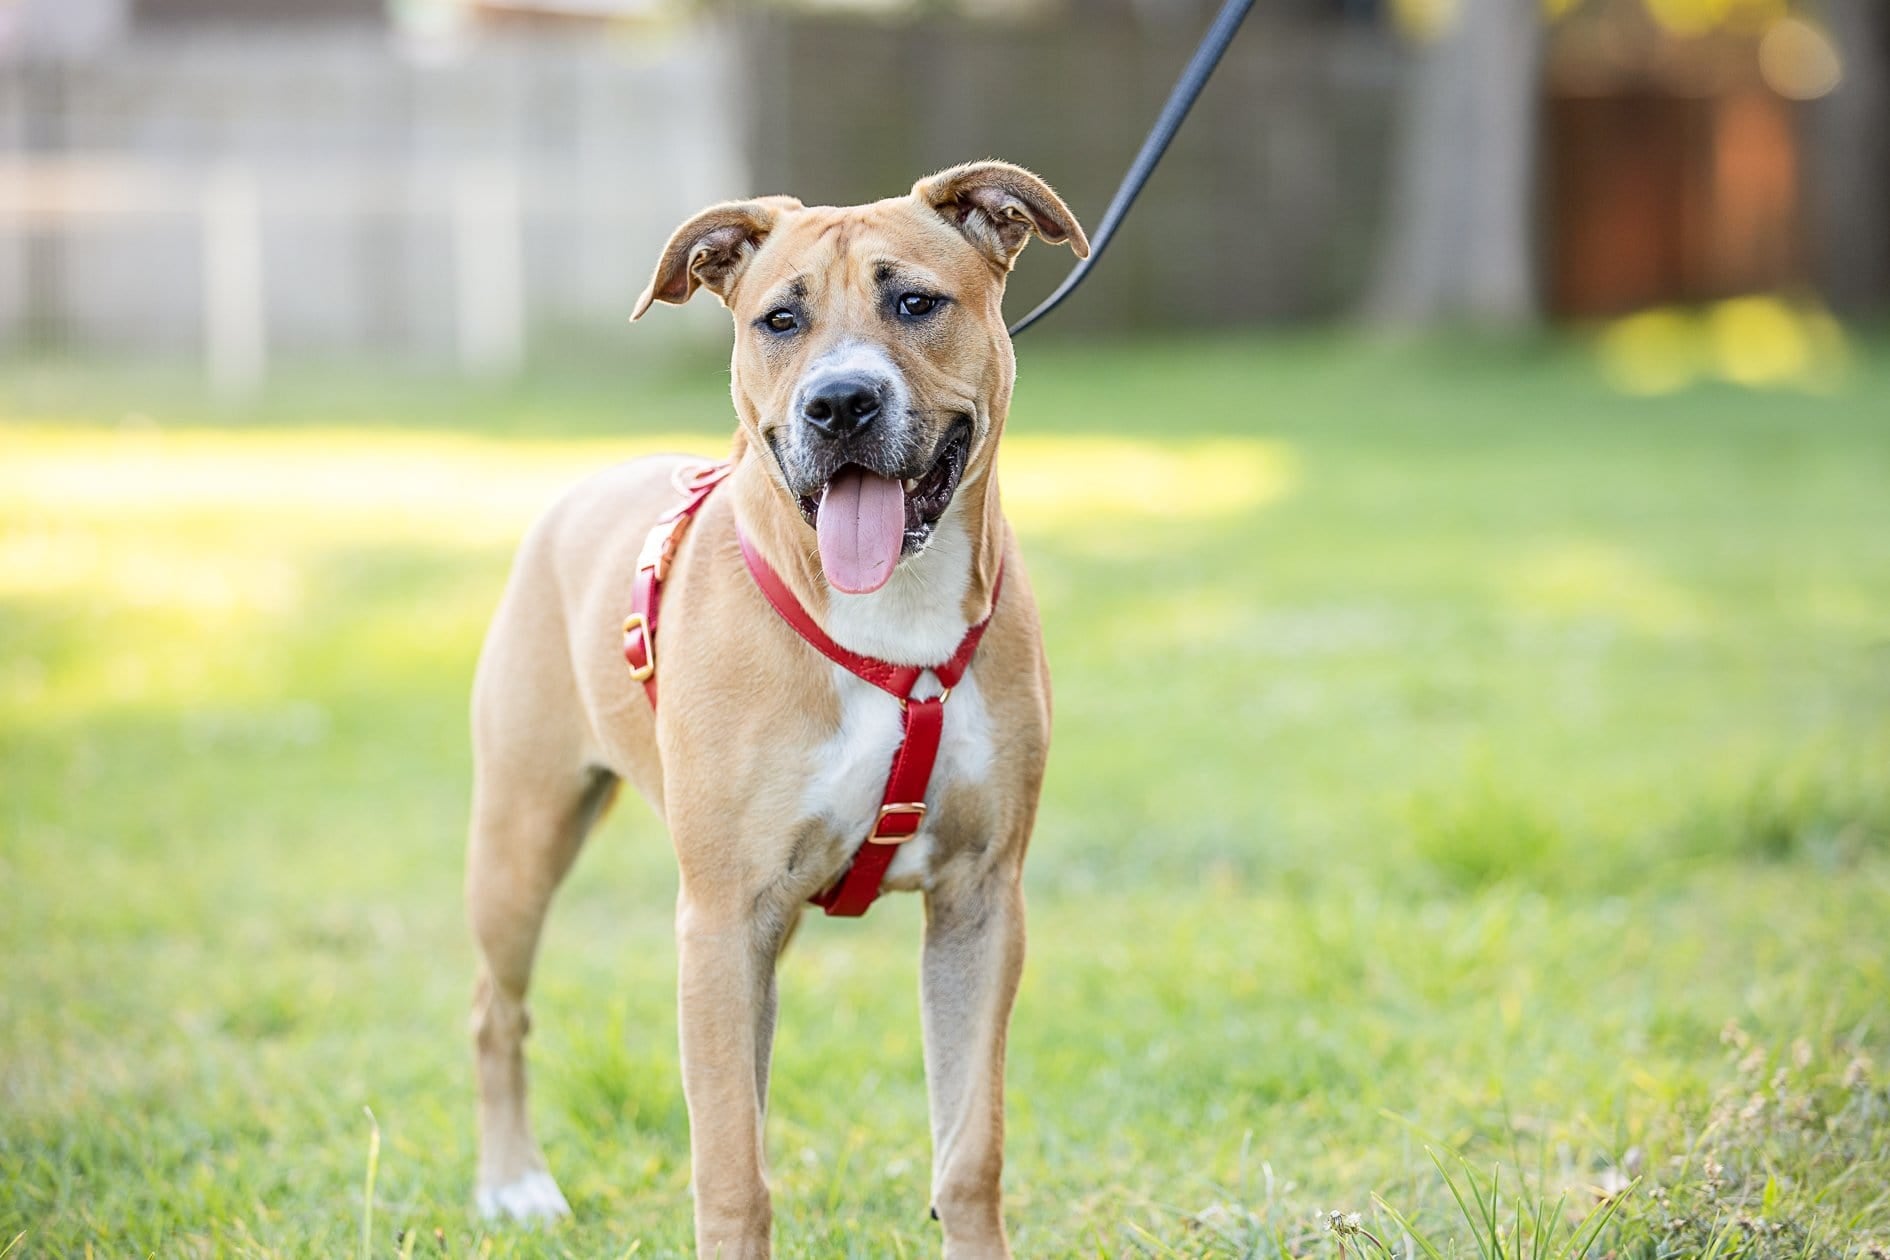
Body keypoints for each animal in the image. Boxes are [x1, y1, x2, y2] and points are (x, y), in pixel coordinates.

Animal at [463, 162, 1088, 1254]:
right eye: (779, 320)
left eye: (915, 302)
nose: (839, 402)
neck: (893, 621)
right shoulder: (719, 917)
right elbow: (730, 1172)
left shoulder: (980, 904)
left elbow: (970, 1151)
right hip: (523, 837)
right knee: (497, 1011)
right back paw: (514, 1186)